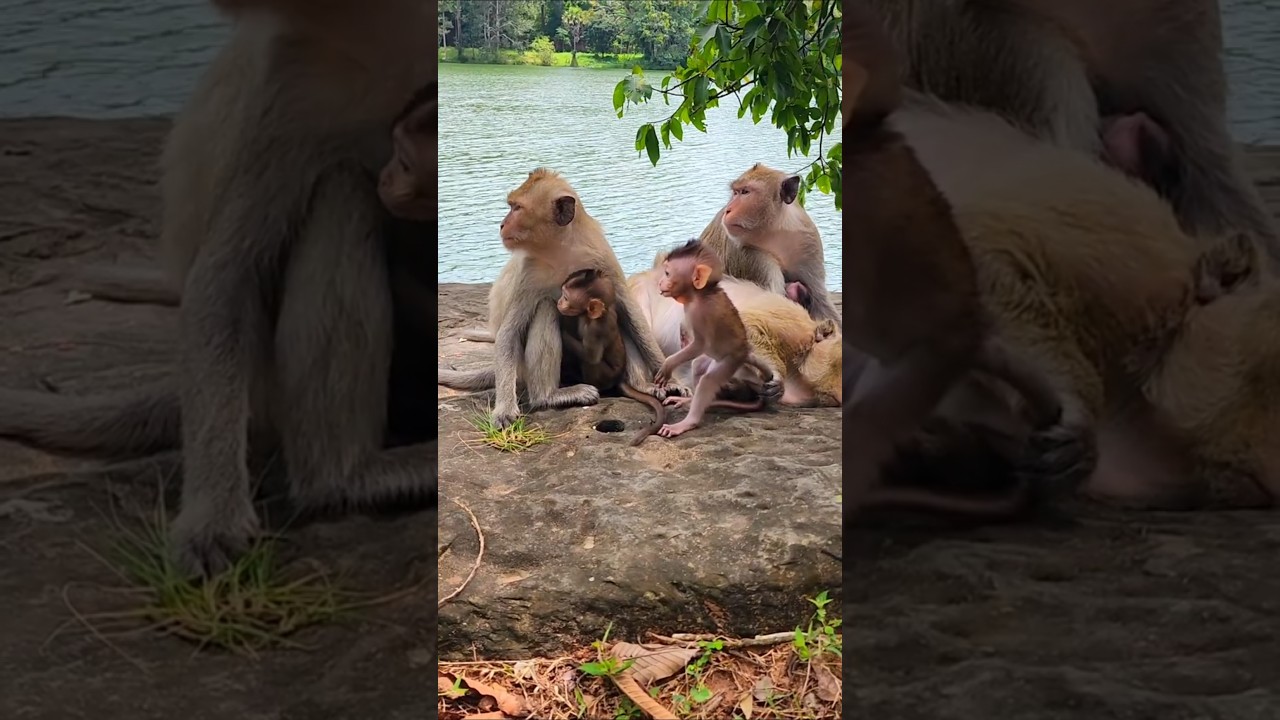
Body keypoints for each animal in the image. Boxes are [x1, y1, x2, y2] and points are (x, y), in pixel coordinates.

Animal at [0, 0, 436, 576]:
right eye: (401, 161)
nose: (394, 176)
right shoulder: (292, 79)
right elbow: (227, 281)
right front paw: (211, 521)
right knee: (340, 190)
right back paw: (347, 478)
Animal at [555, 268, 667, 446]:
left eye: (565, 297)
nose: (558, 302)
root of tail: (619, 376)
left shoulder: (595, 329)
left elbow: (591, 356)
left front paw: (562, 330)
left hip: (606, 375)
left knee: (591, 364)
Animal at [651, 239, 781, 437]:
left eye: (667, 273)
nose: (660, 282)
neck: (699, 294)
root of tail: (744, 351)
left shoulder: (700, 314)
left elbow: (699, 344)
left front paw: (668, 364)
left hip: (730, 362)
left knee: (708, 381)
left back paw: (688, 422)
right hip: (716, 360)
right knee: (698, 366)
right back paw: (688, 401)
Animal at [696, 164, 842, 327]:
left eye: (745, 192)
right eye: (735, 192)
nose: (727, 210)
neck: (773, 231)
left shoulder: (808, 243)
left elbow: (821, 300)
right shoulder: (751, 258)